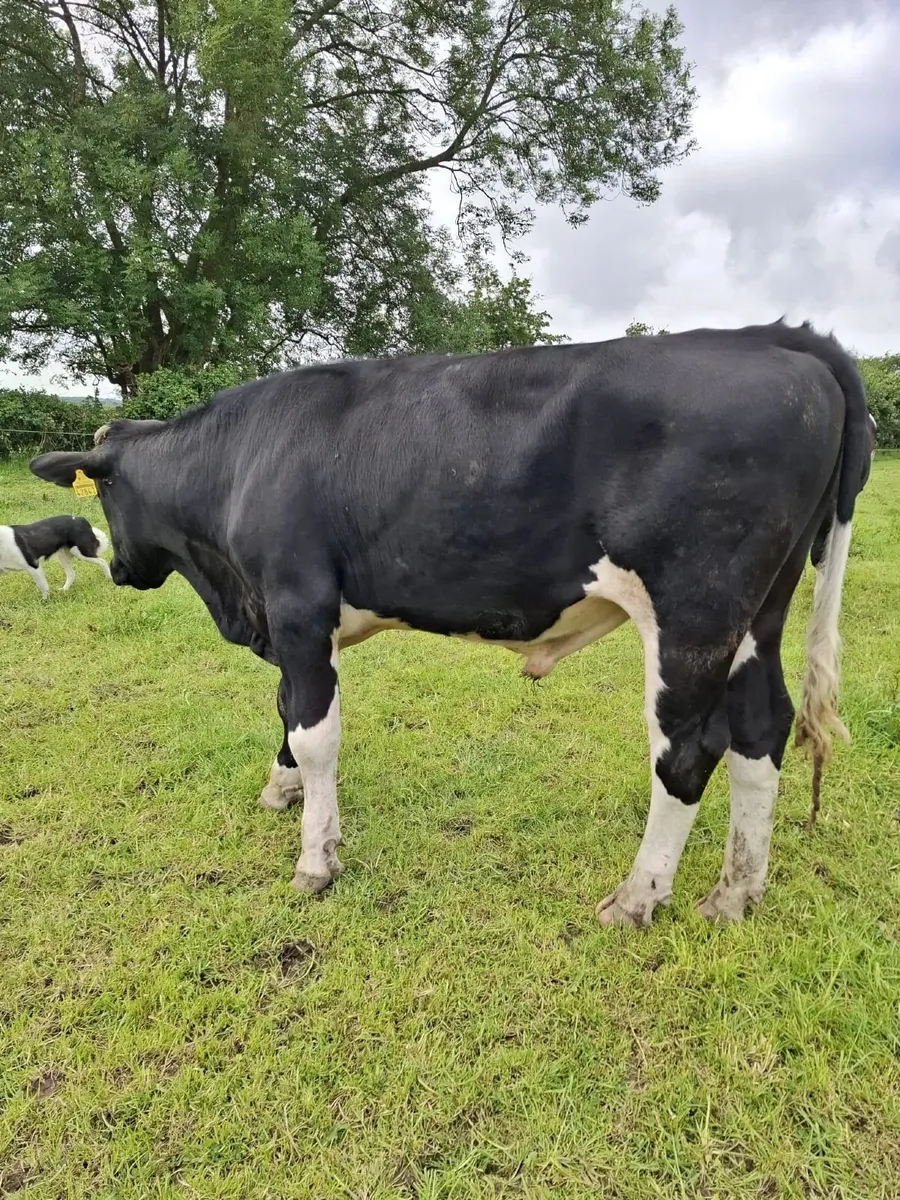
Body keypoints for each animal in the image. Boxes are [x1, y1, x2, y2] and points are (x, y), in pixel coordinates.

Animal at [29, 320, 875, 926]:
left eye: (106, 497)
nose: (117, 568)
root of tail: (770, 336)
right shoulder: (291, 623)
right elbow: (286, 710)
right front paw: (282, 788)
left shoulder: (297, 606)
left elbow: (315, 730)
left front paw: (315, 861)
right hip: (758, 613)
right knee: (761, 730)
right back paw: (734, 894)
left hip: (695, 612)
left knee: (688, 751)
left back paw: (638, 898)